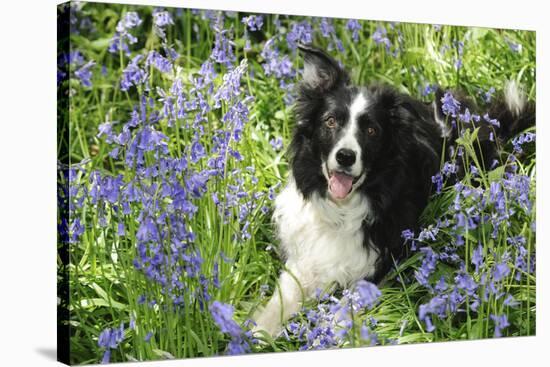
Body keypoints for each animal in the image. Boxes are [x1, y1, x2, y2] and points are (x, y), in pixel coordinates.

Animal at [254, 44, 540, 338]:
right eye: (330, 121)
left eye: (371, 130)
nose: (345, 156)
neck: (342, 209)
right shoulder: (304, 258)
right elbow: (280, 301)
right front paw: (255, 335)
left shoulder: (386, 260)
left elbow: (342, 311)